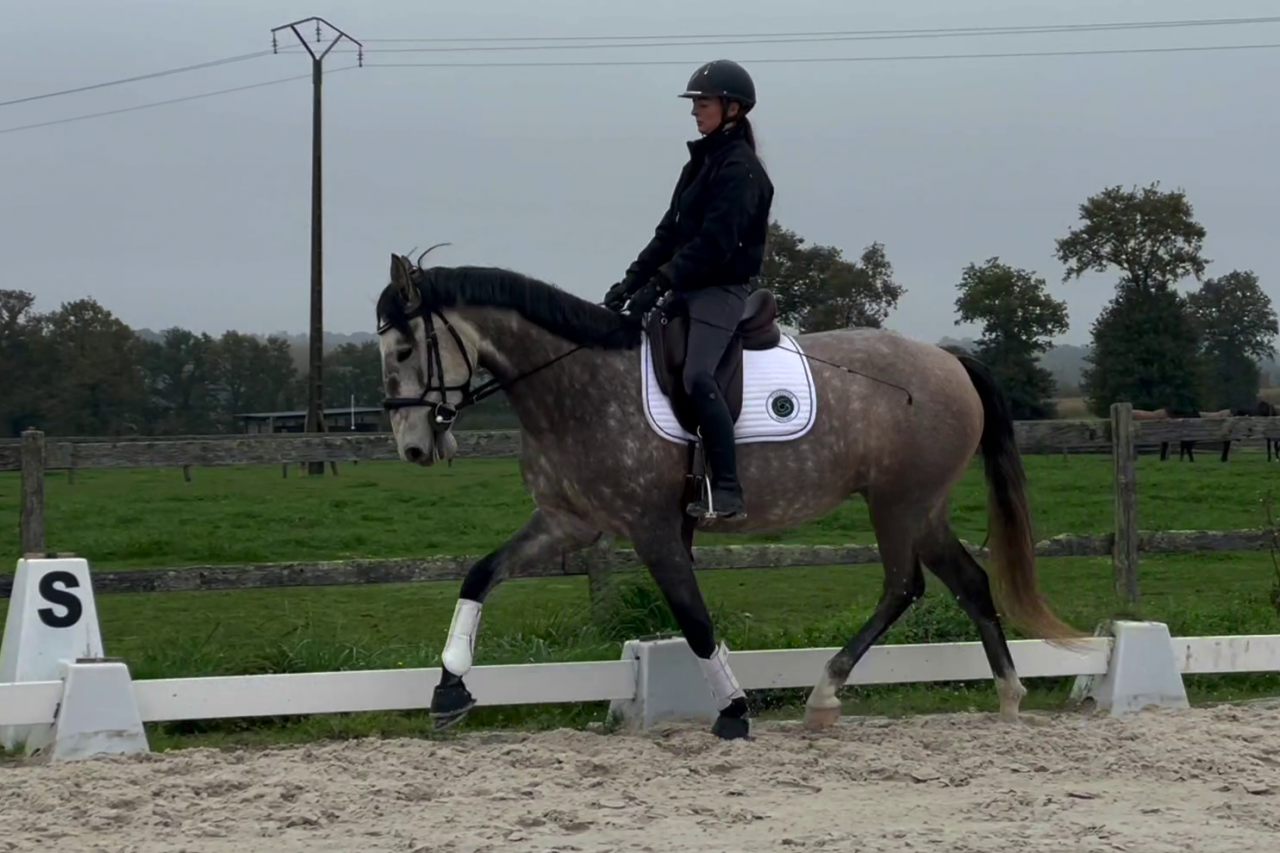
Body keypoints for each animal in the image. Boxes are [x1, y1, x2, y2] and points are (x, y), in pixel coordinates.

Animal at [373, 251, 1083, 740]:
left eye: (405, 348)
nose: (413, 448)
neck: (574, 385)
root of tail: (948, 360)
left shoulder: (653, 529)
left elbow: (694, 620)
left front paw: (736, 711)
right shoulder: (567, 521)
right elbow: (480, 574)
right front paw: (448, 690)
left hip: (897, 504)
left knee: (904, 587)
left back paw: (825, 694)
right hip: (921, 507)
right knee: (969, 583)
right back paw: (1009, 697)